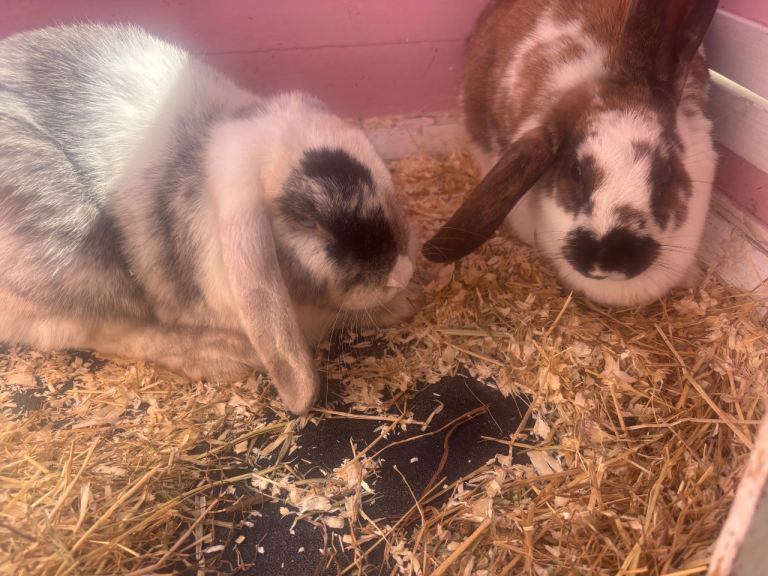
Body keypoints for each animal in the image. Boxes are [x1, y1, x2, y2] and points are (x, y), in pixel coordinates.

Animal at [0, 24, 419, 415]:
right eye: (307, 221)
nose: (401, 275)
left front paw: (403, 303)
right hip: (71, 265)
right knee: (97, 328)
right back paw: (221, 354)